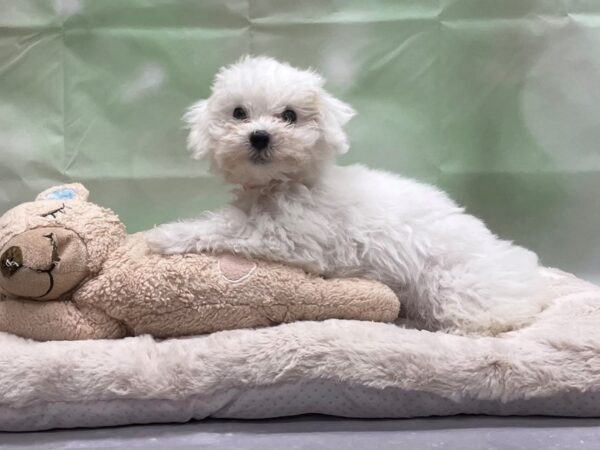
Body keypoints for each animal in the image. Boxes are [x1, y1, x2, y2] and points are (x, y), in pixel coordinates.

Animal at [144, 55, 544, 334]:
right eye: (239, 113)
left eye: (289, 115)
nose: (259, 136)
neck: (285, 183)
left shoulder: (291, 238)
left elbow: (228, 226)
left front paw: (167, 235)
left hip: (454, 287)